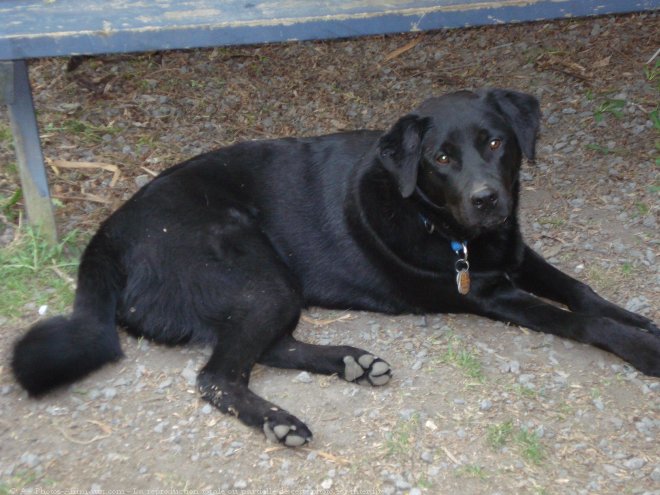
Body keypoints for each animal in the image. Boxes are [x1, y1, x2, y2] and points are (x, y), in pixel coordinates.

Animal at [11, 87, 660, 448]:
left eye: (496, 143)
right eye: (442, 158)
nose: (487, 200)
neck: (446, 228)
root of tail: (108, 233)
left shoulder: (517, 256)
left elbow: (583, 291)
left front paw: (643, 323)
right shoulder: (484, 294)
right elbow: (579, 320)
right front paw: (643, 350)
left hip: (269, 288)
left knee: (262, 349)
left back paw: (352, 362)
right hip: (260, 274)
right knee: (217, 375)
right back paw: (280, 421)